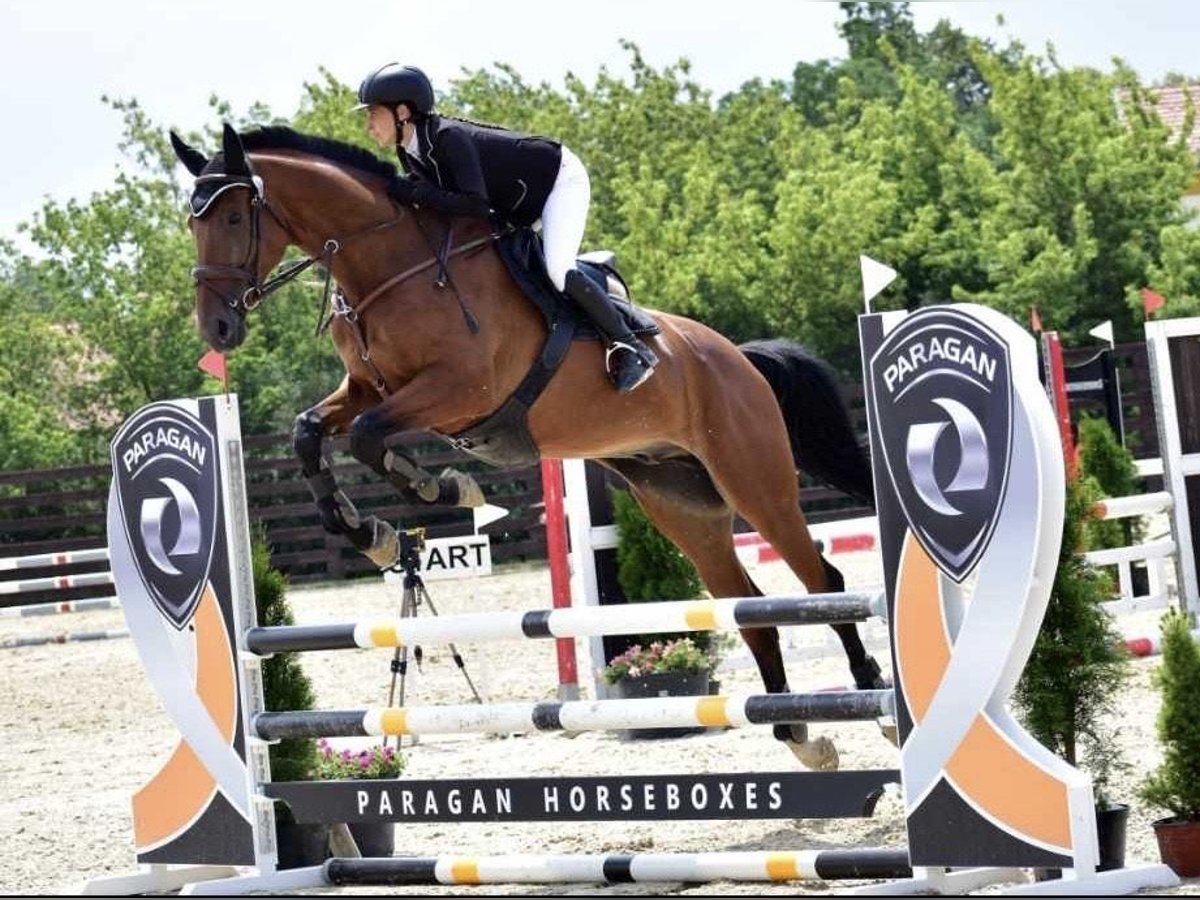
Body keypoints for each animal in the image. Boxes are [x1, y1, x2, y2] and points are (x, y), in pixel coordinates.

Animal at [169, 123, 888, 772]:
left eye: (233, 214)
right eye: (191, 223)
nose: (217, 328)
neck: (388, 265)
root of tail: (737, 357)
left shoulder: (460, 390)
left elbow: (373, 437)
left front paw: (441, 489)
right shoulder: (366, 388)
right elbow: (308, 431)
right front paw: (368, 531)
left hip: (753, 480)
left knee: (822, 584)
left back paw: (872, 699)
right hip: (682, 505)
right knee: (751, 607)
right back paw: (802, 737)